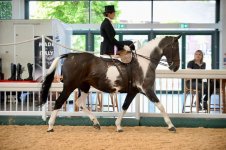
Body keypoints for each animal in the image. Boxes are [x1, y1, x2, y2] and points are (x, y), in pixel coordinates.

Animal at [40, 35, 181, 132]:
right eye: (175, 48)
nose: (176, 67)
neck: (144, 62)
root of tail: (69, 55)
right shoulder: (147, 90)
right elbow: (160, 106)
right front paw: (171, 126)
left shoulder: (133, 91)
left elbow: (124, 106)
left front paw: (118, 126)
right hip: (69, 86)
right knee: (59, 102)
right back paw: (50, 127)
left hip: (84, 86)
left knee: (79, 103)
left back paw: (96, 122)